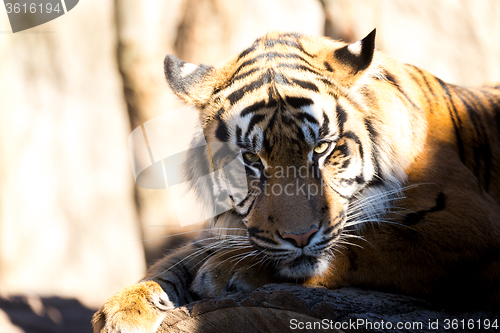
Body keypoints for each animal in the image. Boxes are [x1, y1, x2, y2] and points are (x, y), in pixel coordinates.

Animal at [94, 29, 500, 330]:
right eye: (251, 159)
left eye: (321, 148)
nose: (300, 237)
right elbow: (172, 263)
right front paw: (121, 309)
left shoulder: (466, 223)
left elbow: (369, 241)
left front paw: (229, 272)